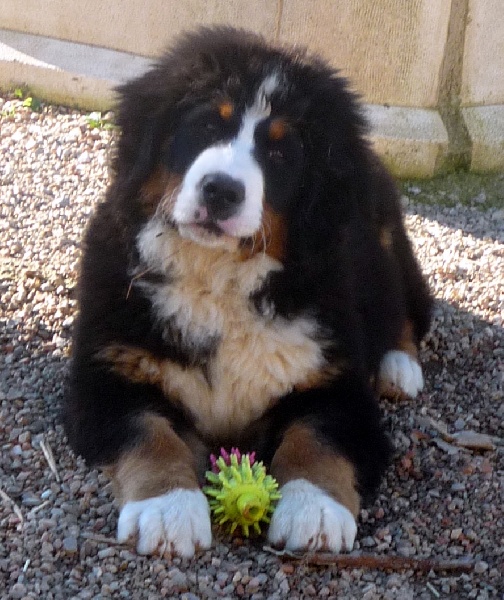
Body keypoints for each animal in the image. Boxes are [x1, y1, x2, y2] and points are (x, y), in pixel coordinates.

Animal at [63, 27, 434, 556]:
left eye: (280, 153)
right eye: (204, 128)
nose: (221, 189)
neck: (218, 278)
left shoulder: (336, 382)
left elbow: (317, 438)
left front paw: (315, 510)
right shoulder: (108, 374)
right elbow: (150, 433)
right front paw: (169, 509)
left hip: (383, 240)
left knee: (404, 306)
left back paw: (398, 366)